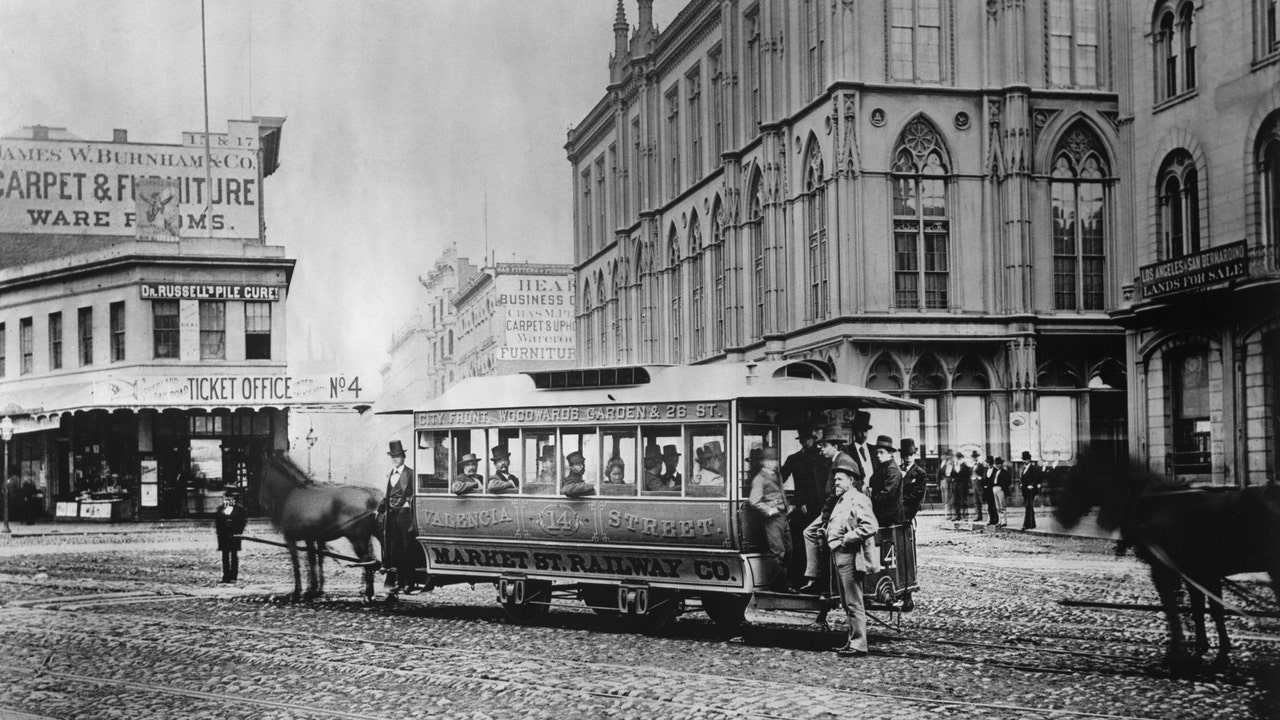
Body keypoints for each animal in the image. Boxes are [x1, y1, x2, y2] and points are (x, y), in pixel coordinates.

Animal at [256, 453, 381, 599]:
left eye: (262, 475)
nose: (261, 501)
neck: (291, 493)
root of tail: (370, 498)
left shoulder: (292, 539)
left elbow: (299, 563)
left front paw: (299, 591)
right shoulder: (312, 539)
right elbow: (313, 561)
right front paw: (314, 588)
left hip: (357, 539)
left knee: (368, 561)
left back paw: (368, 592)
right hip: (365, 538)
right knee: (371, 561)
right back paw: (368, 590)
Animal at [1049, 448, 1280, 666]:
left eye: (1074, 478)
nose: (1060, 519)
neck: (1155, 505)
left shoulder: (1168, 571)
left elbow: (1177, 608)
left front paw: (1180, 652)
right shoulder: (1196, 574)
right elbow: (1201, 609)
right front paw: (1204, 650)